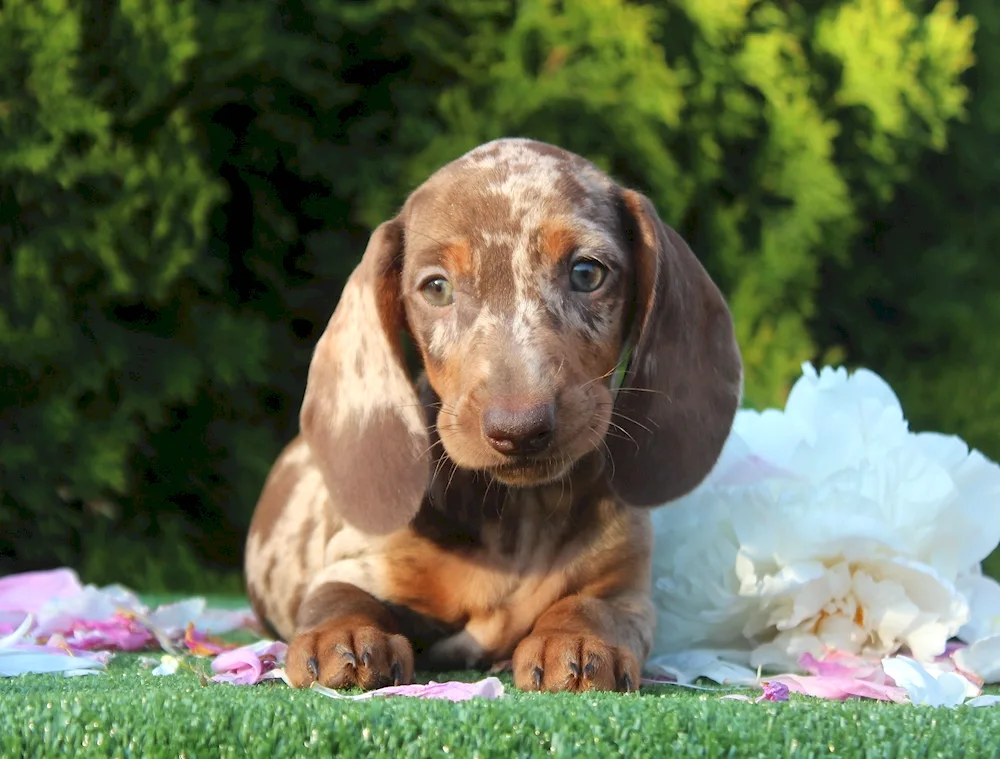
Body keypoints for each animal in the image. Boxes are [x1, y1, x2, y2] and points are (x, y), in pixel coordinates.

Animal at [244, 137, 744, 696]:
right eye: (436, 287)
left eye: (587, 272)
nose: (519, 431)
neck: (517, 515)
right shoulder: (355, 564)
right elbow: (340, 596)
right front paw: (346, 635)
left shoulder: (624, 591)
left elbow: (591, 606)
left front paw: (575, 639)